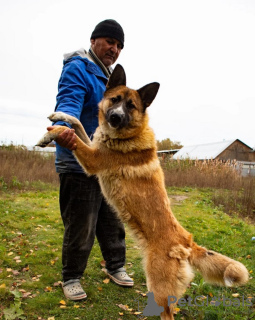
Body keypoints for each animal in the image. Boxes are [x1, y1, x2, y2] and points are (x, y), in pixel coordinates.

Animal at [36, 63, 249, 318]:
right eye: (115, 99)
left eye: (131, 106)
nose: (115, 117)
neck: (127, 135)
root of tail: (186, 242)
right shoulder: (91, 145)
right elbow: (76, 124)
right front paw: (59, 118)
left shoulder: (91, 160)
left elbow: (71, 137)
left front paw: (51, 133)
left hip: (157, 285)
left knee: (167, 313)